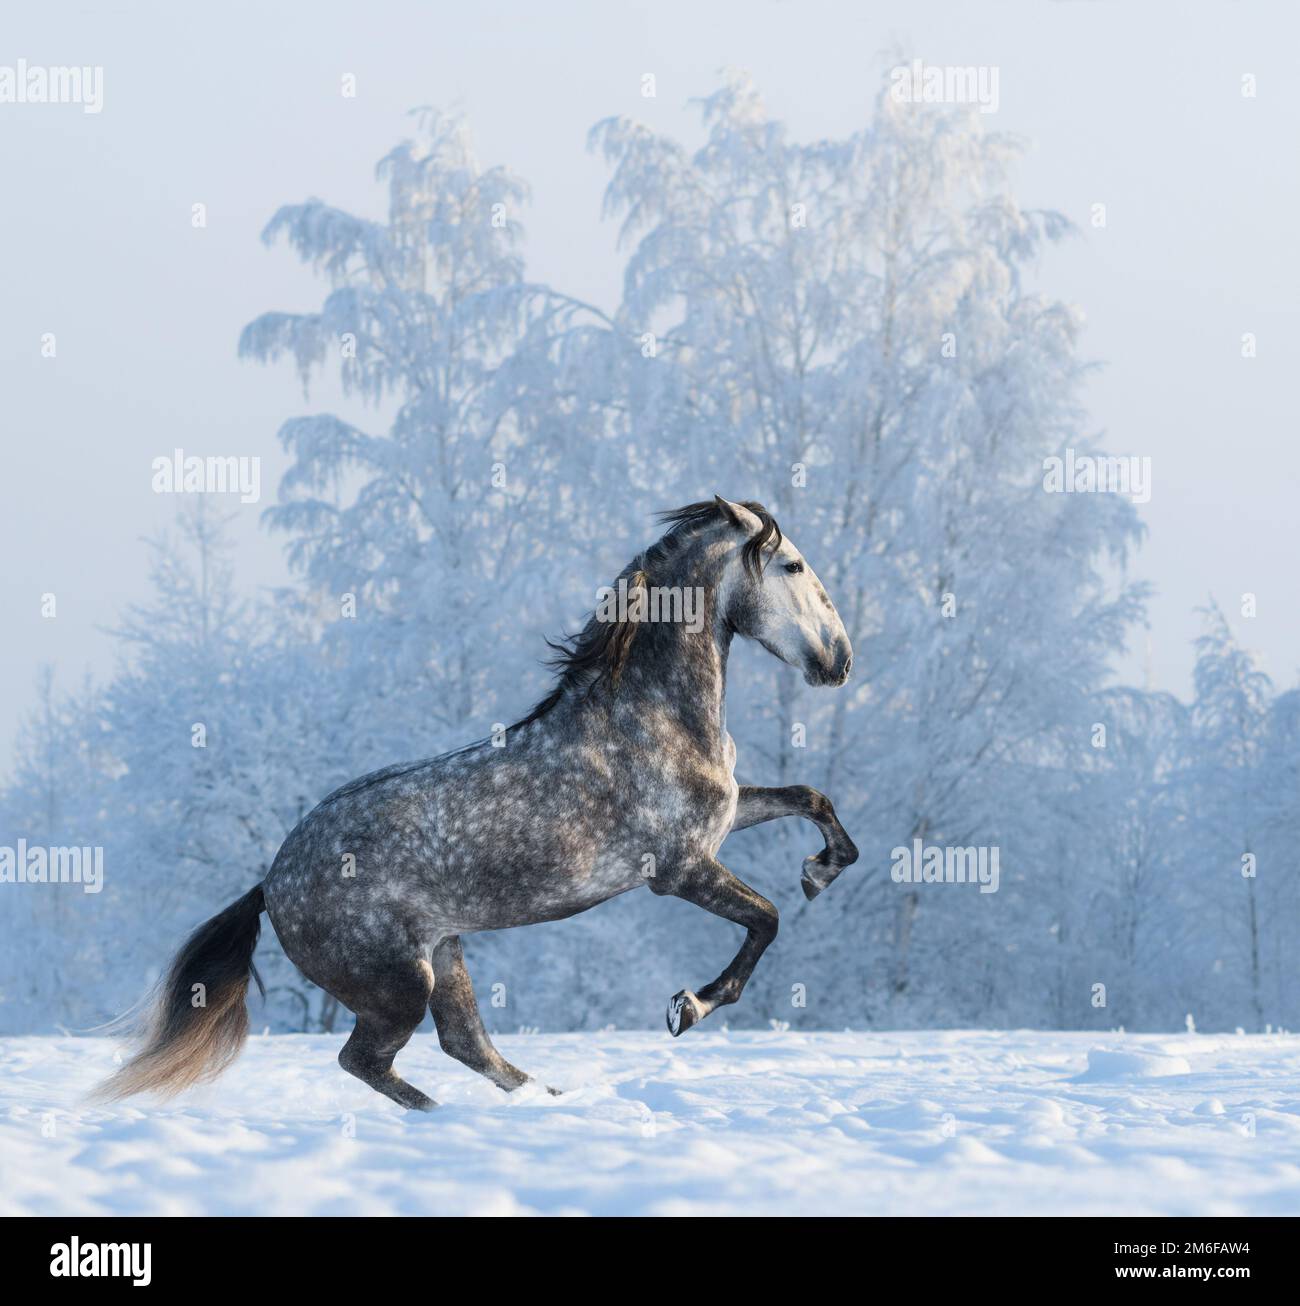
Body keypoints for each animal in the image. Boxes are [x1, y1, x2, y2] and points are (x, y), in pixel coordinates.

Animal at [97, 497, 859, 1110]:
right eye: (792, 566)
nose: (840, 661)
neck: (652, 715)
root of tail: (269, 884)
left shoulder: (722, 824)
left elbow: (811, 799)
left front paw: (821, 870)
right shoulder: (679, 869)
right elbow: (766, 920)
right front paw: (688, 1007)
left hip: (444, 954)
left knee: (466, 1044)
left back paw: (546, 1101)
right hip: (400, 981)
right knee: (368, 1059)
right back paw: (453, 1118)